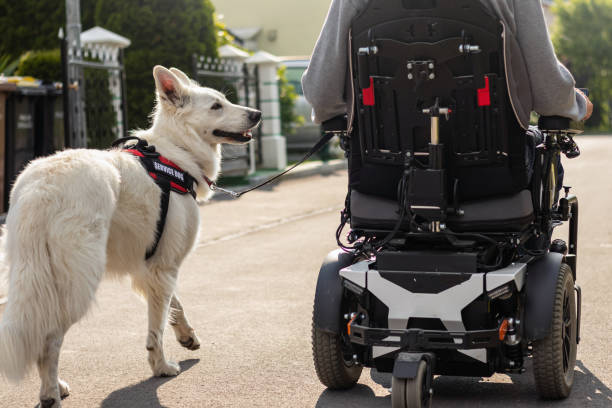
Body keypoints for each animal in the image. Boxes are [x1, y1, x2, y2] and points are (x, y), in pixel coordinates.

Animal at [0, 65, 260, 406]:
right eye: (216, 106)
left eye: (224, 101)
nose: (257, 114)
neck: (176, 152)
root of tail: (42, 185)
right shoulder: (164, 267)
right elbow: (156, 328)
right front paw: (161, 367)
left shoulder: (151, 267)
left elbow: (174, 306)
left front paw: (187, 336)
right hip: (77, 284)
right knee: (50, 341)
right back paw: (50, 394)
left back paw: (56, 385)